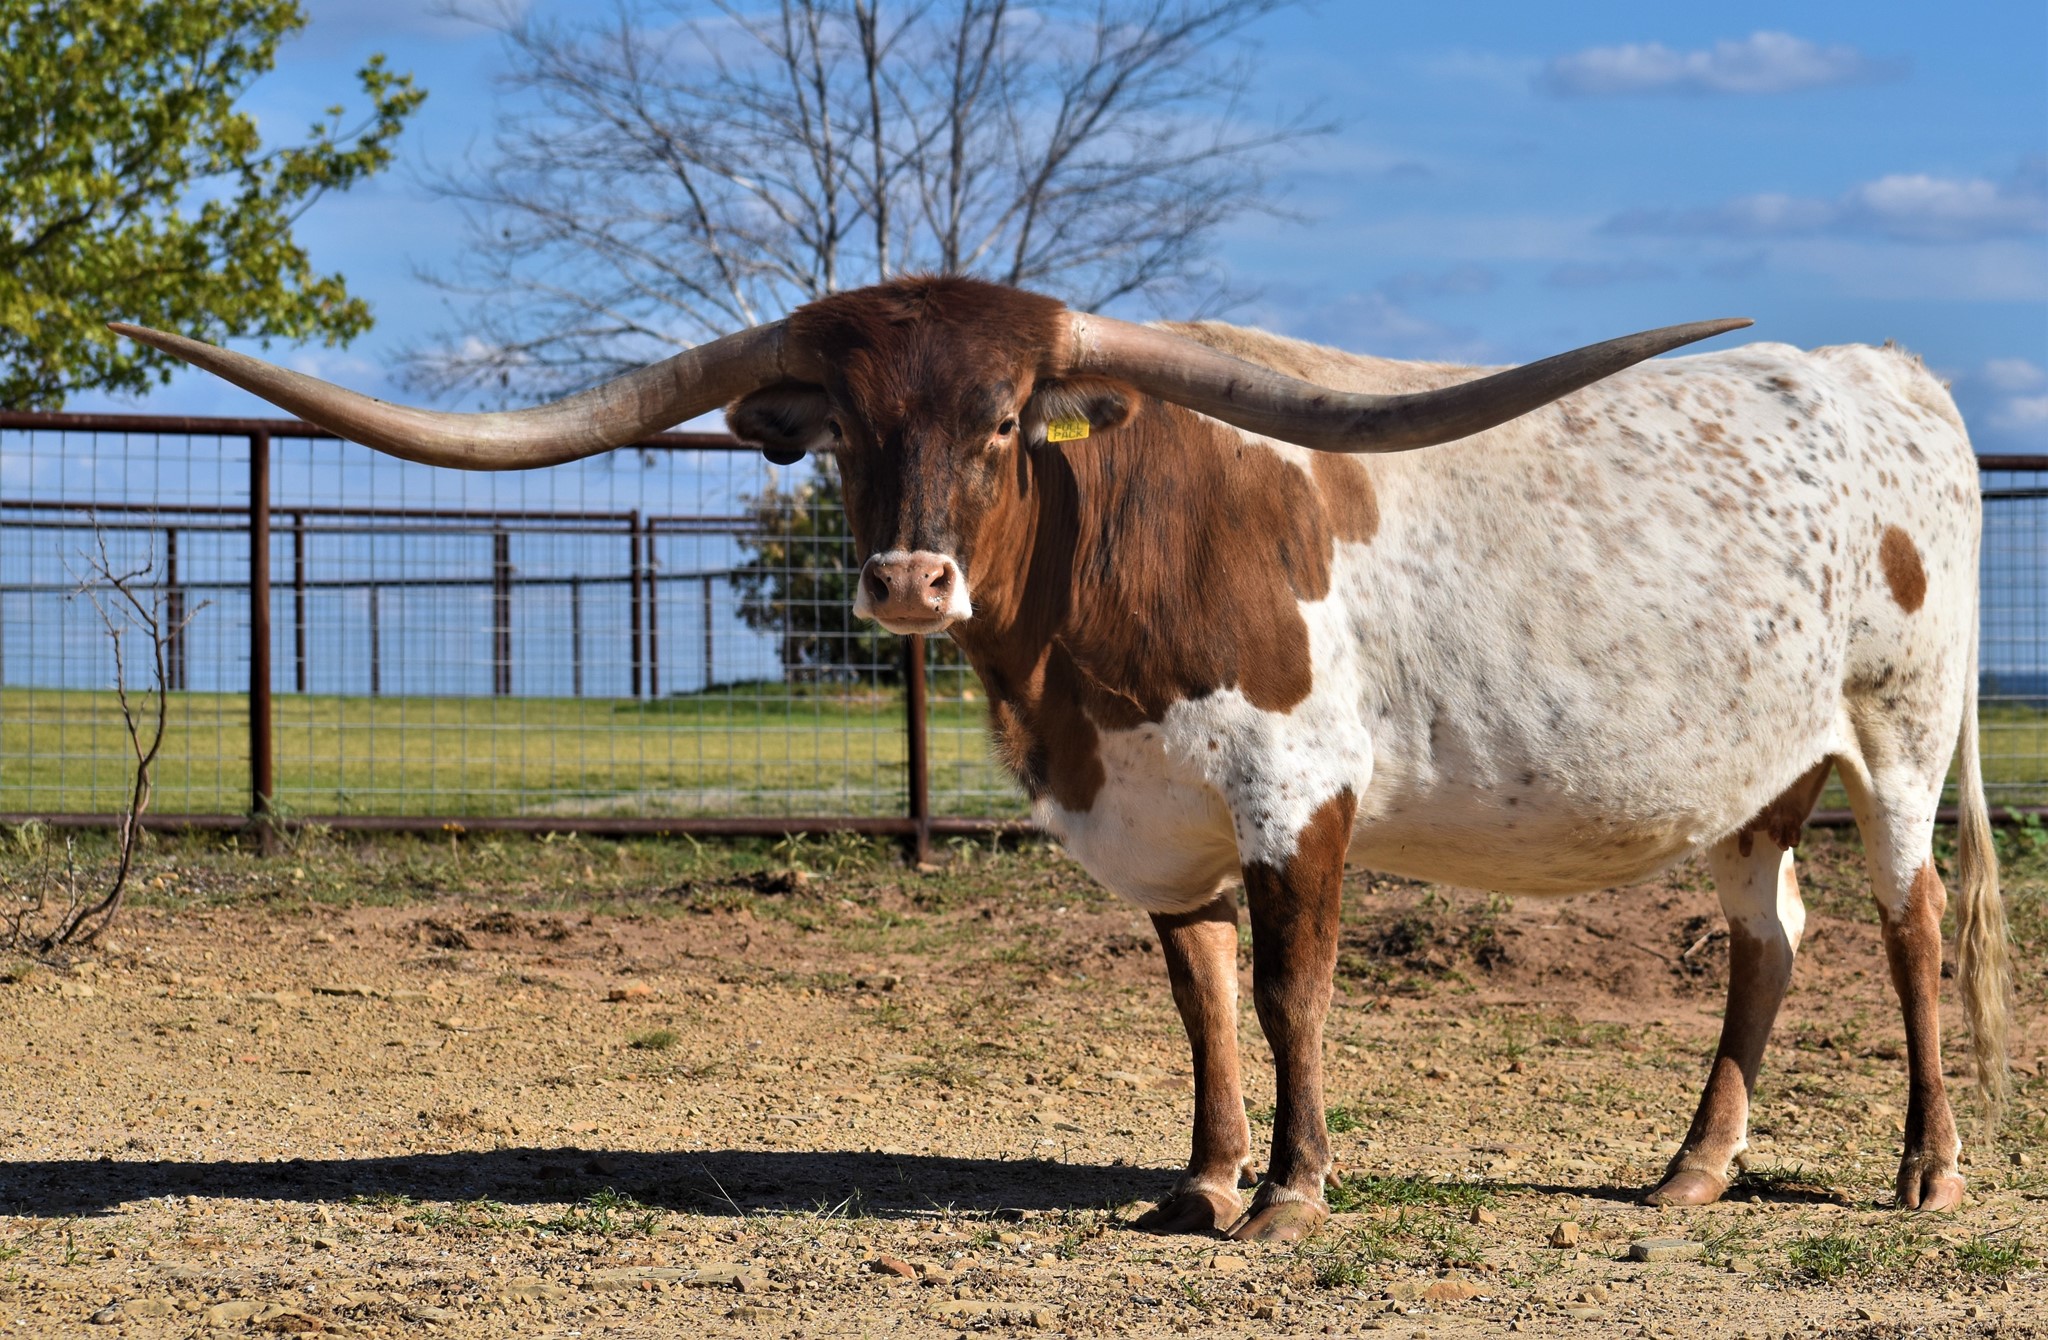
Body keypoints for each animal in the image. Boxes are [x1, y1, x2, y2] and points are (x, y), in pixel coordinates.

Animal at [115, 275, 2007, 1241]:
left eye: (1009, 418)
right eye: (845, 427)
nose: (906, 581)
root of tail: (1887, 370)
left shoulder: (1295, 792)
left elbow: (1295, 990)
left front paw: (1293, 1194)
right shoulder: (1157, 821)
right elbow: (1203, 1000)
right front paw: (1202, 1178)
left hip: (1893, 733)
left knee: (1908, 929)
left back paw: (1924, 1172)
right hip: (1754, 772)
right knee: (1771, 942)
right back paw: (1691, 1170)